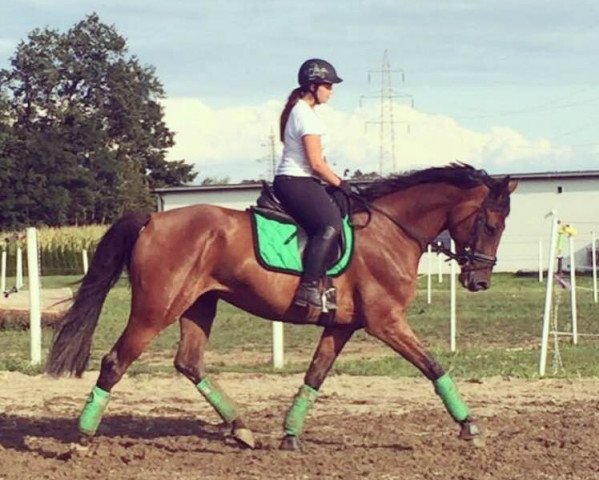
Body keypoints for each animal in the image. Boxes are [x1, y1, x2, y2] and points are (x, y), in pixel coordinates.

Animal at [45, 164, 516, 450]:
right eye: (492, 224)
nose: (479, 281)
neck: (390, 232)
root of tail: (153, 219)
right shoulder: (386, 322)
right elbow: (433, 366)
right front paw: (470, 427)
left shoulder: (342, 326)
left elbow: (315, 375)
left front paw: (290, 434)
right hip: (155, 309)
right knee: (115, 360)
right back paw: (83, 436)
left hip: (199, 306)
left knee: (189, 362)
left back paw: (242, 429)